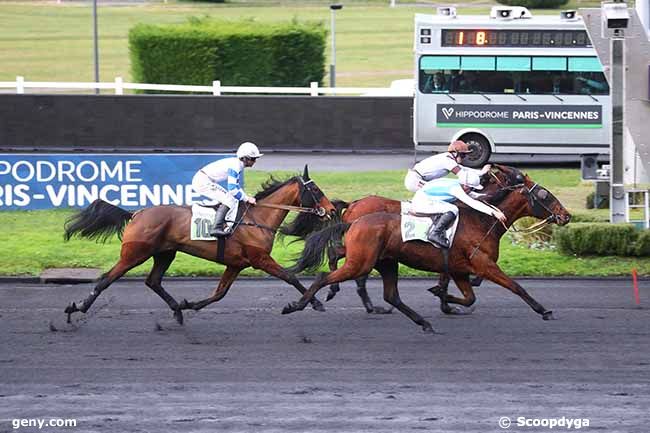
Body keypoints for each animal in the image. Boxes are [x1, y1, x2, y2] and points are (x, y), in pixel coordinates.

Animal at [62, 165, 334, 324]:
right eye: (316, 190)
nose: (331, 210)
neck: (257, 219)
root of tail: (136, 213)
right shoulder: (260, 260)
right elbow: (290, 277)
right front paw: (314, 303)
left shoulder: (236, 264)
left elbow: (219, 293)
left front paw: (190, 304)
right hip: (135, 254)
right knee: (106, 279)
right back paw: (78, 308)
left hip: (165, 253)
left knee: (153, 281)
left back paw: (177, 310)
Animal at [280, 165, 568, 330]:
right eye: (544, 194)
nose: (565, 216)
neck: (480, 220)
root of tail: (355, 208)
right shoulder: (483, 264)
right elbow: (516, 287)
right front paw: (544, 311)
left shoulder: (459, 268)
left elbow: (467, 295)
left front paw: (444, 298)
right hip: (362, 260)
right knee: (333, 274)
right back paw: (307, 302)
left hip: (378, 259)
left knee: (371, 282)